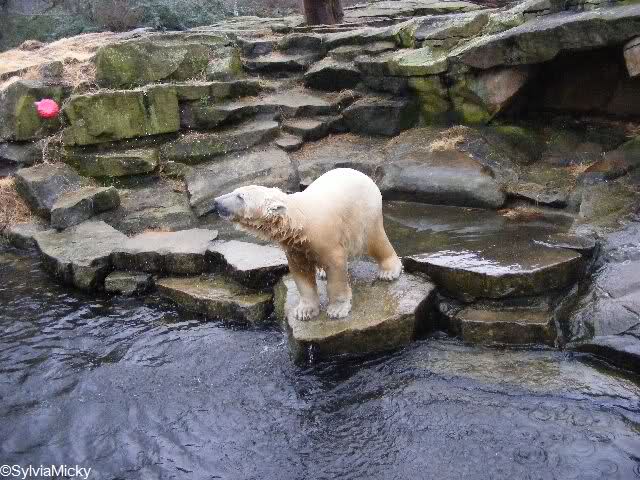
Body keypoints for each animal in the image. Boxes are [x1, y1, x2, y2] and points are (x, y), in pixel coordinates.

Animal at [212, 168, 403, 320]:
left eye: (240, 196)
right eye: (236, 191)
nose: (216, 201)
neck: (299, 223)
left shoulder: (324, 237)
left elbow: (336, 267)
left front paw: (337, 310)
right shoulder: (295, 246)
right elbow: (301, 273)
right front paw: (304, 312)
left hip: (364, 212)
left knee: (375, 240)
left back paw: (389, 271)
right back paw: (321, 272)